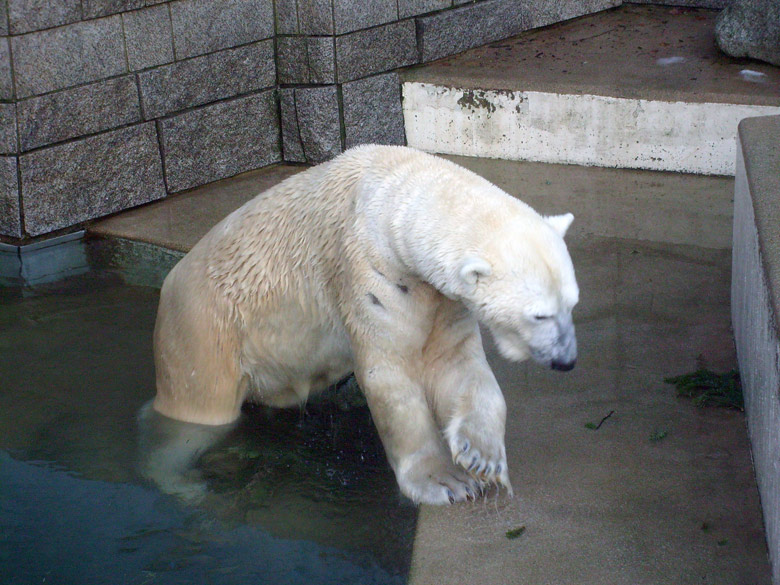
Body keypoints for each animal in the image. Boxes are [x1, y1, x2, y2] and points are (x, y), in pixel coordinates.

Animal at [154, 144, 580, 504]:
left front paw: (482, 456)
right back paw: (180, 482)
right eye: (539, 314)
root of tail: (169, 284)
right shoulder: (371, 272)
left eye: (572, 303)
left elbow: (458, 365)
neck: (391, 193)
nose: (567, 361)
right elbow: (390, 375)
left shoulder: (442, 299)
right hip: (204, 329)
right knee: (197, 414)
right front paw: (446, 482)